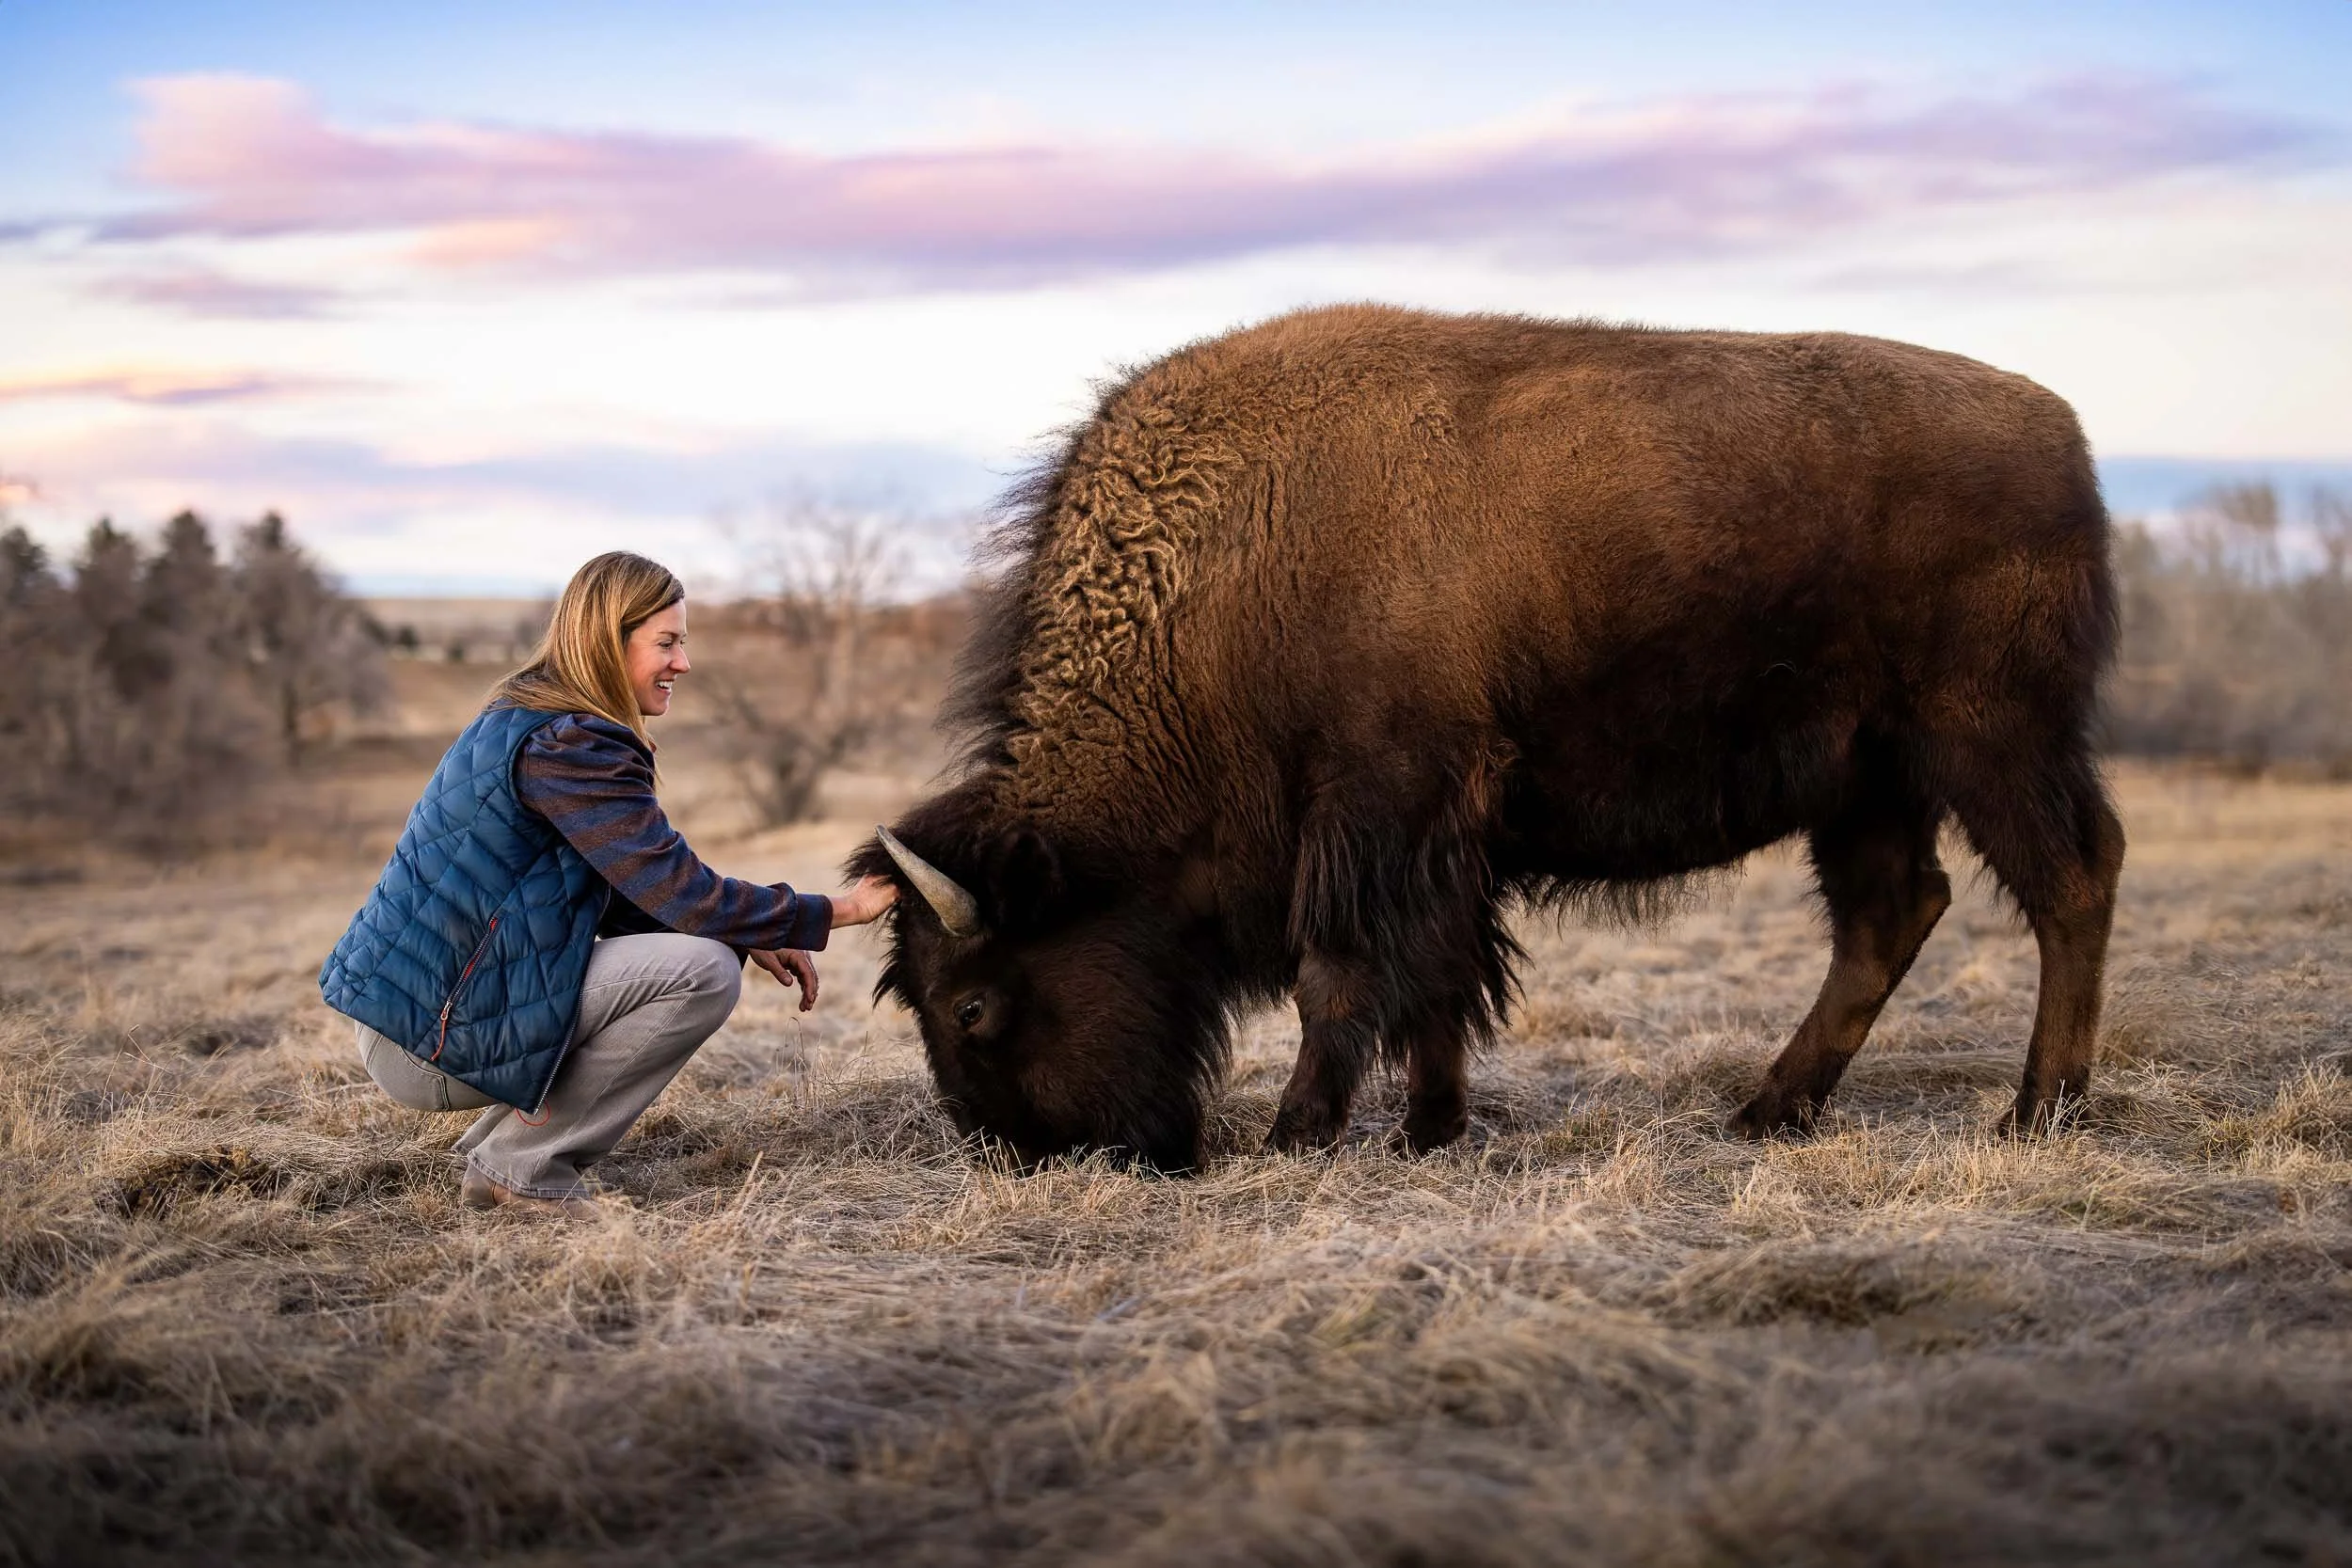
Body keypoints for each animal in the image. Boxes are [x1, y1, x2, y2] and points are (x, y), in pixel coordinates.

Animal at [856, 304, 2124, 1172]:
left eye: (970, 1006)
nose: (1030, 1156)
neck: (1228, 571)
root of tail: (2062, 433)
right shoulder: (1442, 837)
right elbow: (1439, 980)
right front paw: (1429, 1127)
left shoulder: (1374, 809)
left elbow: (1342, 972)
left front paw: (1298, 1132)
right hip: (1865, 778)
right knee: (1891, 913)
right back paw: (1767, 1110)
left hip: (1986, 738)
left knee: (2069, 877)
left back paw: (2035, 1111)